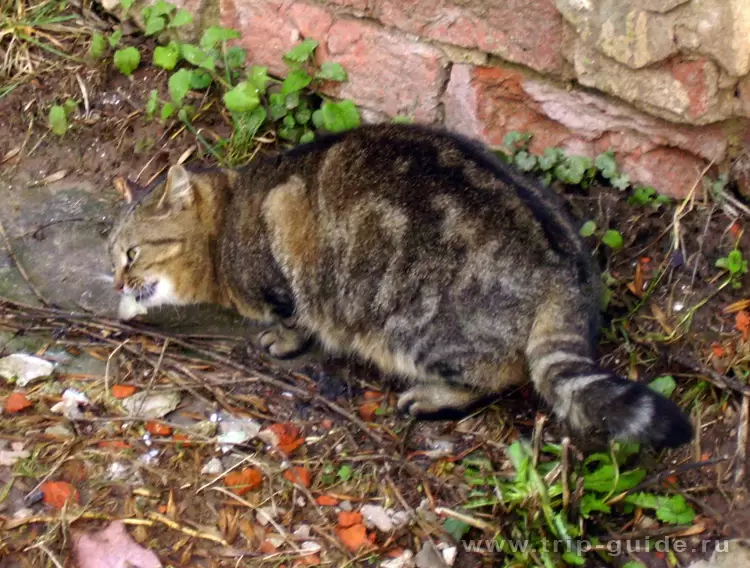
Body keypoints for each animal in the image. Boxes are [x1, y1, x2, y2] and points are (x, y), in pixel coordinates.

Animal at [108, 124, 696, 448]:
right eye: (112, 253)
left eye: (131, 252)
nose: (116, 277)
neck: (231, 216)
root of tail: (564, 269)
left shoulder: (281, 242)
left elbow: (296, 313)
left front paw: (284, 336)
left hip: (415, 324)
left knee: (495, 376)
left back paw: (431, 397)